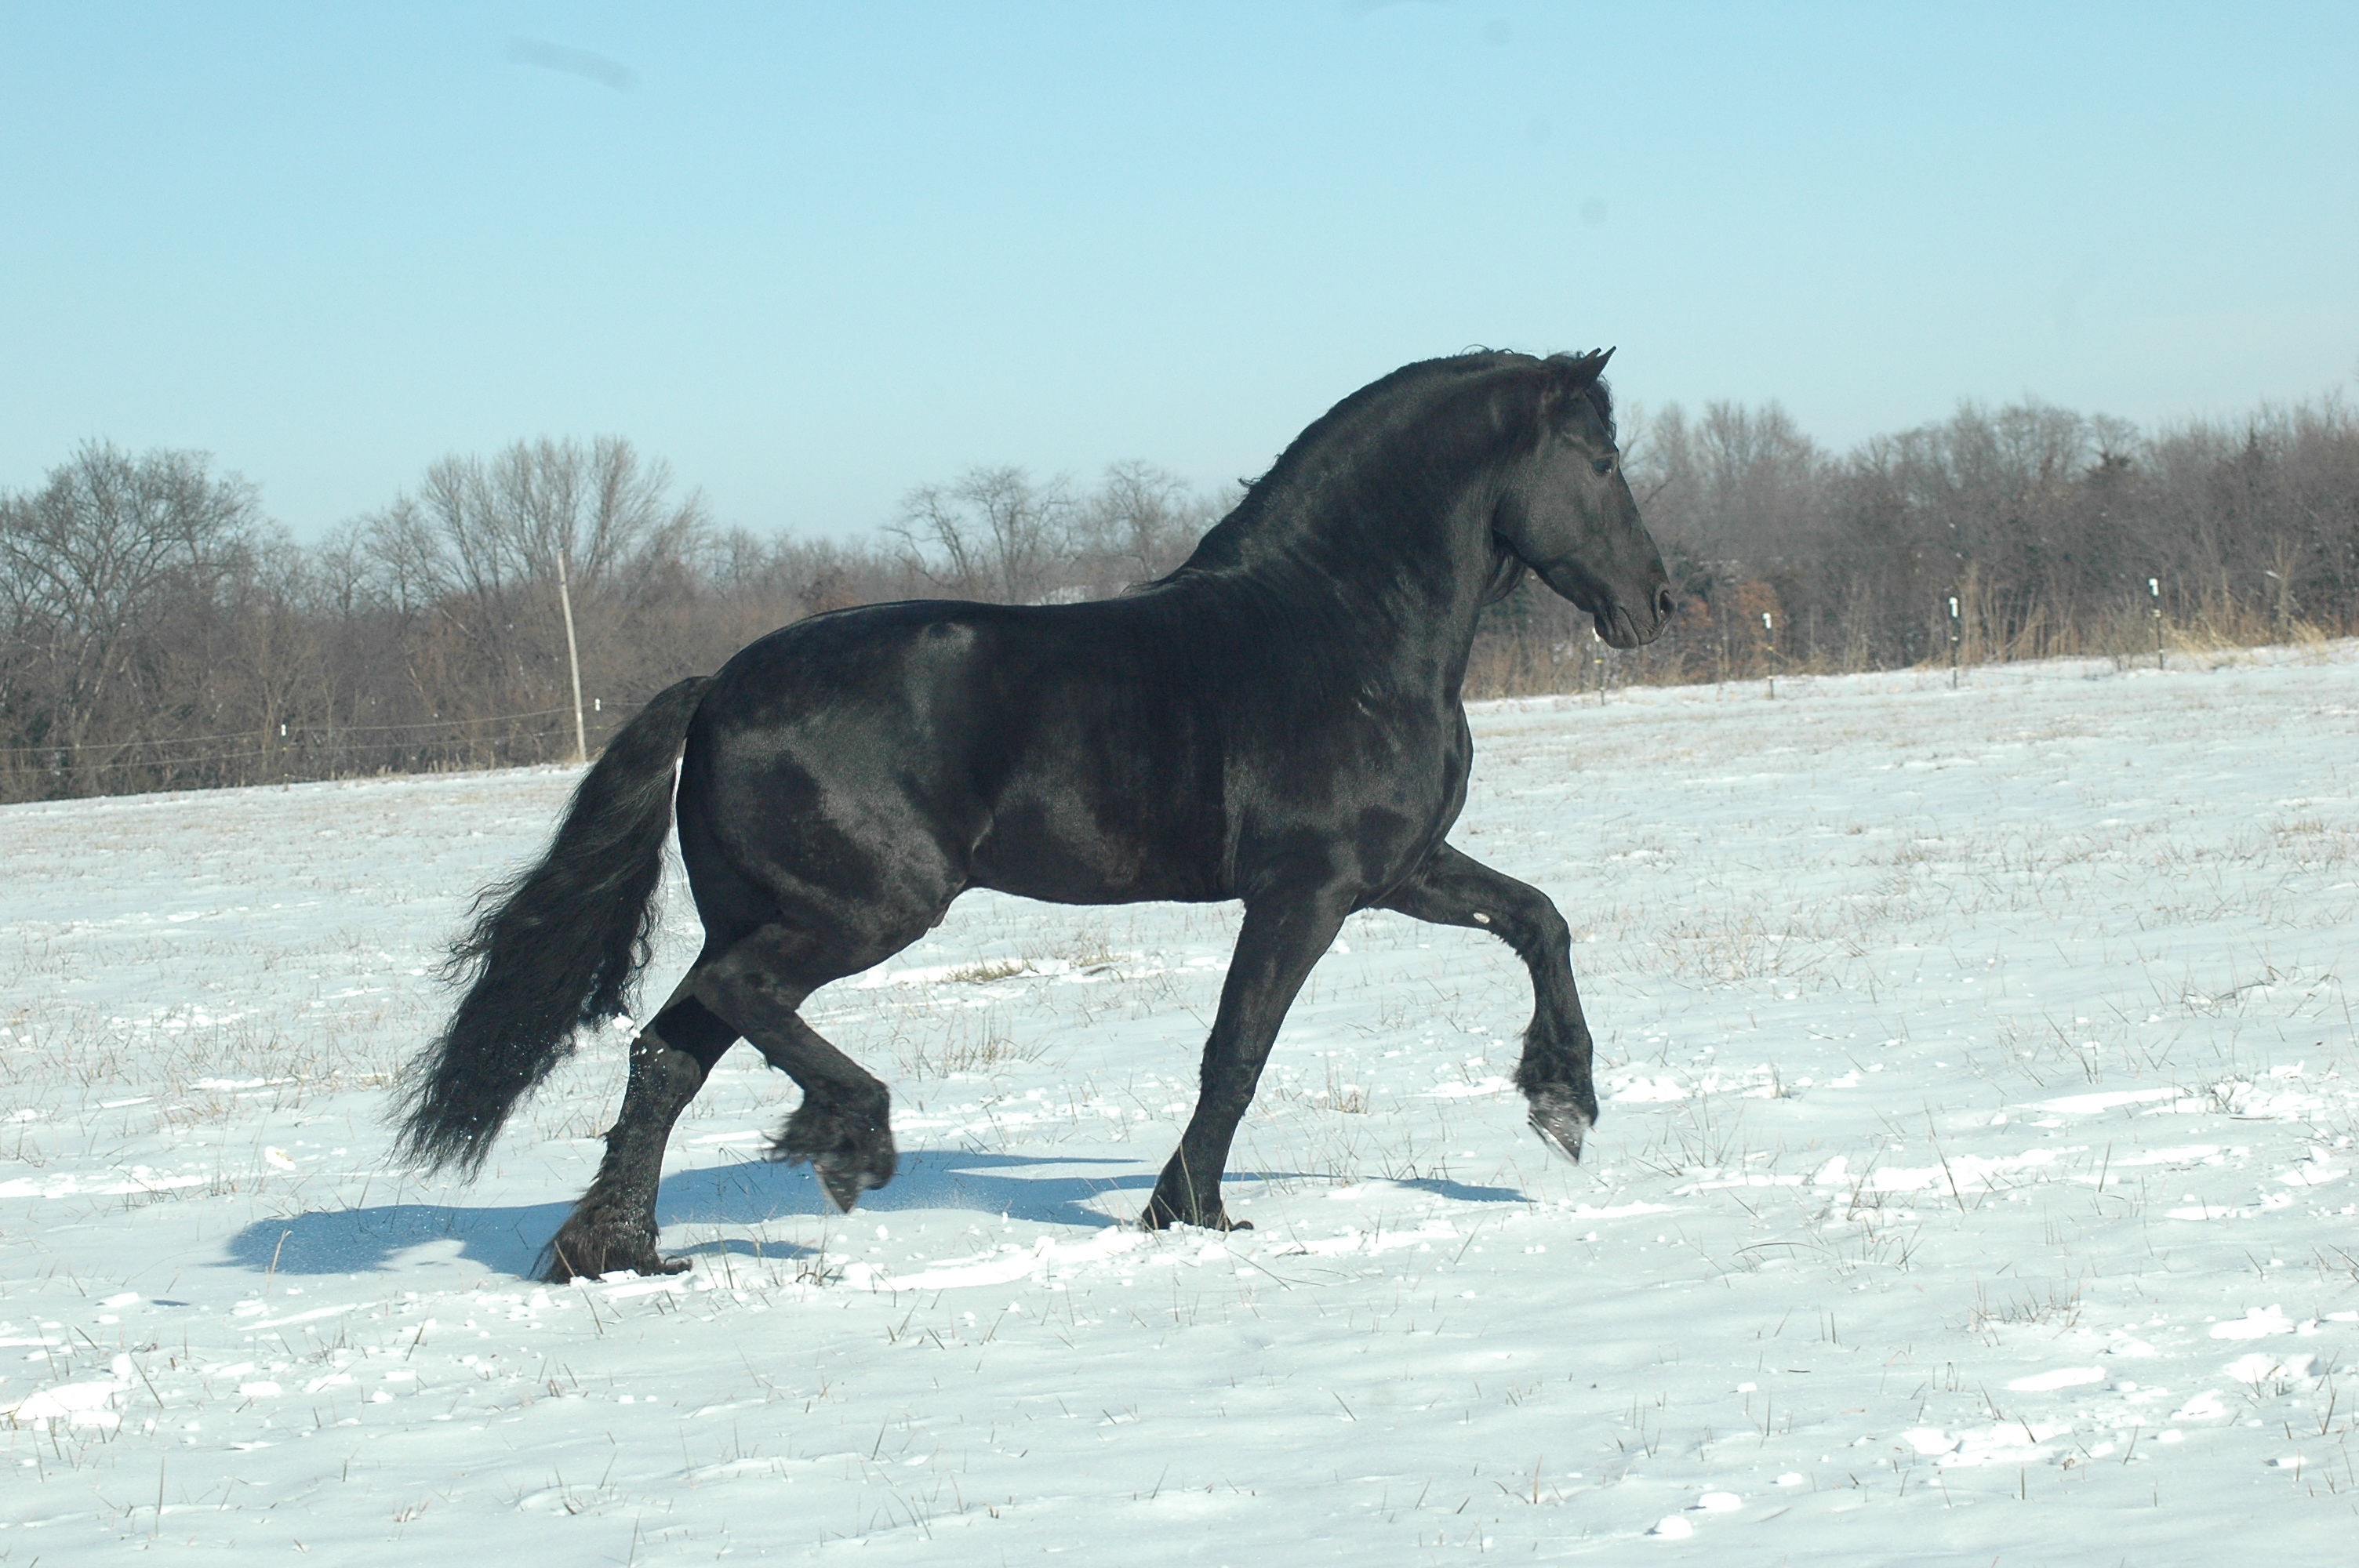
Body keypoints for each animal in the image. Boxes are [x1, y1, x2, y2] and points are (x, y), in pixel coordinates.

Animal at [391, 348, 1673, 1281]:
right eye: (1600, 456)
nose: (1656, 603)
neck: (1339, 625)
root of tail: (716, 689)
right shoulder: (1306, 890)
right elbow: (1237, 1049)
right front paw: (1190, 1210)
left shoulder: (1398, 869)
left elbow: (1540, 919)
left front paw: (1563, 1102)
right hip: (866, 910)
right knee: (737, 1005)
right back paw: (848, 1144)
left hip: (765, 913)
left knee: (668, 1053)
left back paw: (617, 1253)